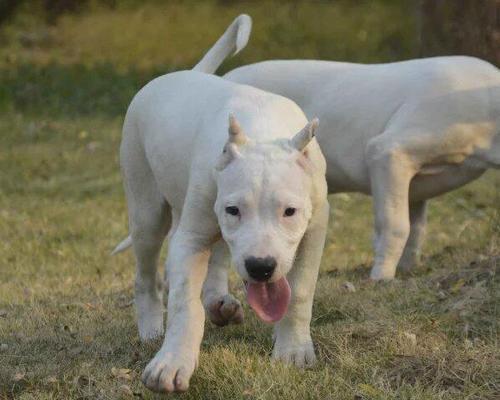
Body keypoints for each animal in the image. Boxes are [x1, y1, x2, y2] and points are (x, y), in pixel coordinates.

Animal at [114, 16, 330, 394]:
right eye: (233, 210)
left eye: (290, 212)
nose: (261, 267)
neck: (263, 133)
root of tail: (184, 72)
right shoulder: (191, 238)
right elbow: (184, 304)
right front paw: (171, 363)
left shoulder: (315, 227)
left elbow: (301, 290)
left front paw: (293, 350)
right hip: (146, 209)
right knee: (146, 273)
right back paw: (151, 327)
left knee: (217, 255)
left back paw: (218, 302)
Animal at [196, 14, 500, 290]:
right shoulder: (389, 153)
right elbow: (395, 225)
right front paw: (381, 277)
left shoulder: (415, 183)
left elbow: (416, 228)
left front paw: (408, 269)